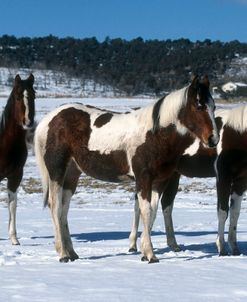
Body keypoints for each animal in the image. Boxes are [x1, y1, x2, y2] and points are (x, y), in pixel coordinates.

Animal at [34, 75, 218, 262]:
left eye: (213, 106)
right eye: (199, 106)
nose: (213, 139)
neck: (155, 134)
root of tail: (48, 120)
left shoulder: (160, 181)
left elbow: (152, 212)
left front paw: (144, 252)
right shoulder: (144, 178)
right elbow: (145, 211)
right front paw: (150, 254)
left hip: (72, 173)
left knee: (64, 208)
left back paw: (72, 252)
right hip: (56, 171)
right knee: (55, 206)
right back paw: (63, 253)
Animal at [128, 105, 247, 256]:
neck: (237, 133)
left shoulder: (241, 181)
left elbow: (235, 213)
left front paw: (235, 248)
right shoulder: (223, 177)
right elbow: (223, 212)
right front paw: (222, 248)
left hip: (172, 175)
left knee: (165, 205)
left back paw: (172, 245)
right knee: (143, 207)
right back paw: (134, 245)